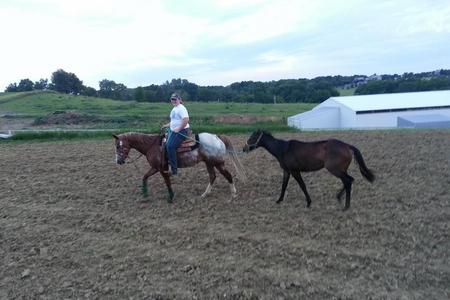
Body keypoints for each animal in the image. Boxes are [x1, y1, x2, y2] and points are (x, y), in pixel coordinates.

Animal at [112, 131, 246, 202]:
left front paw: (171, 197)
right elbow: (144, 177)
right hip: (209, 162)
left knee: (228, 175)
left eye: (118, 146)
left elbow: (167, 182)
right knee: (212, 176)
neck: (152, 146)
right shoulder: (155, 168)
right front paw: (144, 193)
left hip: (218, 163)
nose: (118, 161)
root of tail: (217, 137)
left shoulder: (161, 169)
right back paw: (205, 194)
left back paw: (233, 194)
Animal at [244, 129, 374, 211]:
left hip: (335, 170)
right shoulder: (287, 171)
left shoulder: (295, 171)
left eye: (252, 137)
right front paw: (279, 200)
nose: (244, 148)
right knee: (349, 180)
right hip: (341, 170)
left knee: (348, 181)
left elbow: (302, 185)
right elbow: (284, 185)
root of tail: (347, 146)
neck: (283, 149)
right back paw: (340, 198)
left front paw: (308, 202)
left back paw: (345, 206)